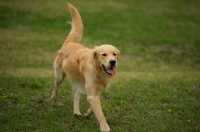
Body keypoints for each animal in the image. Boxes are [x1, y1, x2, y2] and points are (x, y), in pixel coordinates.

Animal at [51, 3, 120, 132]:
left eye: (114, 54)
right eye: (104, 54)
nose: (113, 62)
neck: (98, 70)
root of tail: (70, 42)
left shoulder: (96, 92)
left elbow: (95, 108)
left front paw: (88, 113)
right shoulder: (93, 94)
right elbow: (101, 113)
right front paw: (105, 128)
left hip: (79, 81)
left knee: (76, 94)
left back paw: (76, 111)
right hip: (60, 75)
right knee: (56, 85)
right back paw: (54, 97)